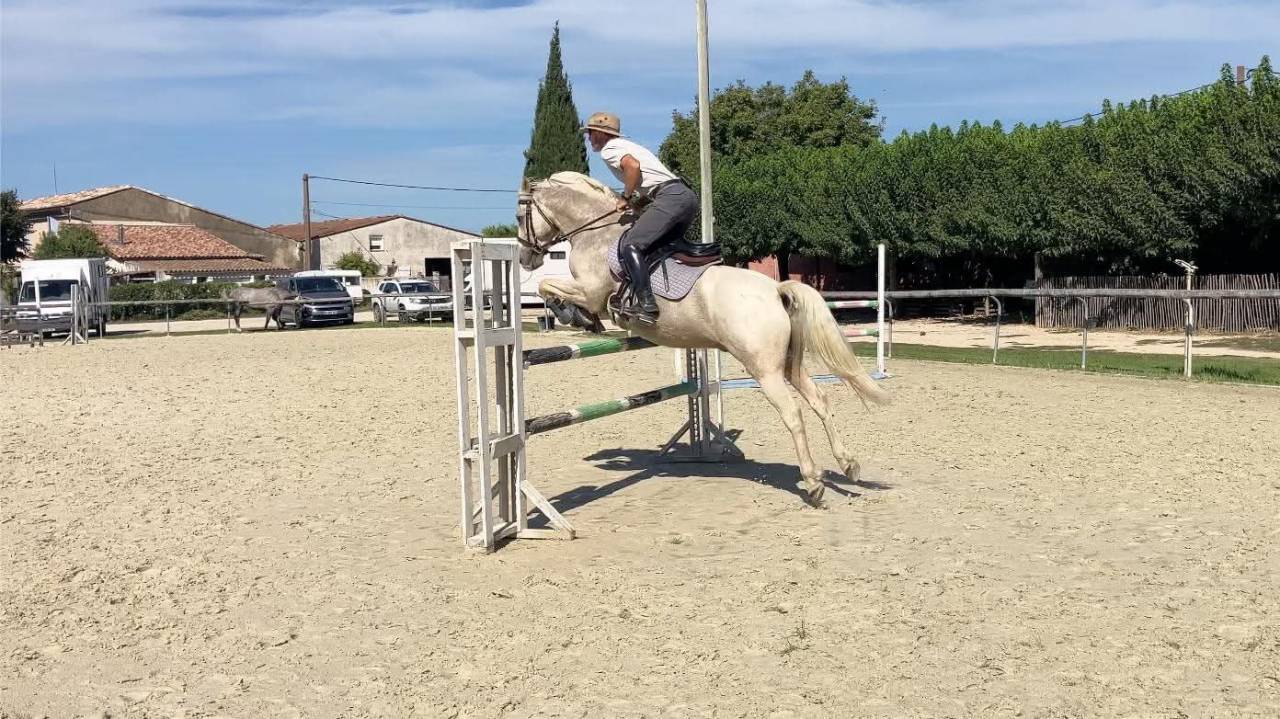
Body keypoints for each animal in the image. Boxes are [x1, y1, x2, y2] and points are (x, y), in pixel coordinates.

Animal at [516, 172, 890, 502]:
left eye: (520, 216)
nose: (524, 257)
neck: (597, 234)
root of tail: (775, 290)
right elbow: (550, 288)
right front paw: (583, 319)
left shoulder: (591, 291)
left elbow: (548, 286)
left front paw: (574, 315)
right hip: (789, 365)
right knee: (820, 402)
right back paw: (848, 464)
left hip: (765, 370)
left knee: (793, 413)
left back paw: (813, 482)